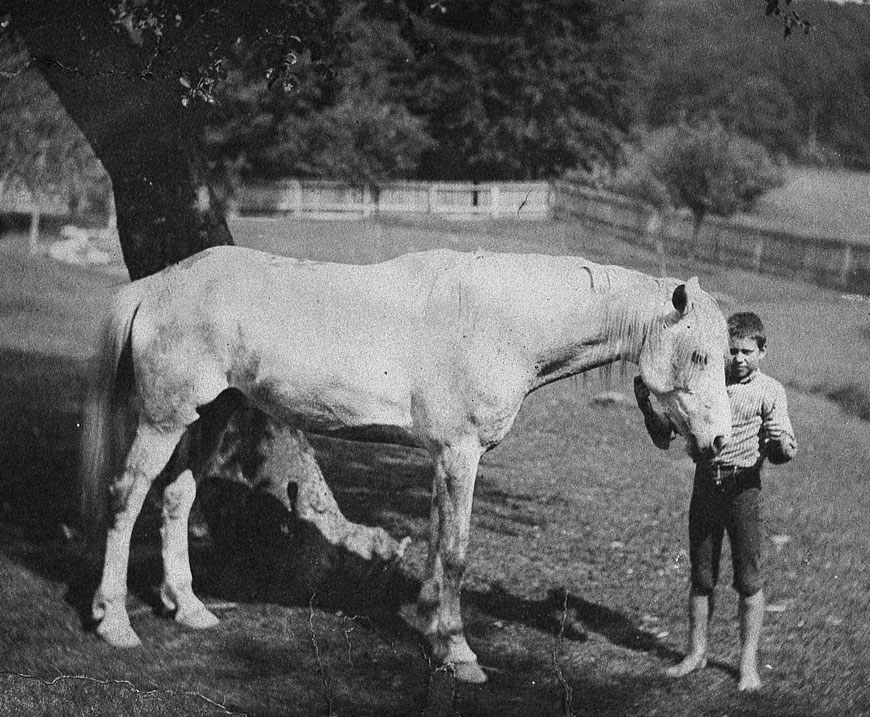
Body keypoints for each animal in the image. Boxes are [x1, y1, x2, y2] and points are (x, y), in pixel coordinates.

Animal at [83, 245, 736, 684]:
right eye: (700, 356)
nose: (720, 442)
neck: (499, 321)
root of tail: (155, 286)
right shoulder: (460, 454)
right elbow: (457, 550)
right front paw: (461, 653)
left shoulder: (445, 458)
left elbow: (437, 539)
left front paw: (432, 632)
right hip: (164, 421)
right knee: (127, 497)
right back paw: (114, 623)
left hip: (208, 415)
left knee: (176, 499)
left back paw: (189, 609)